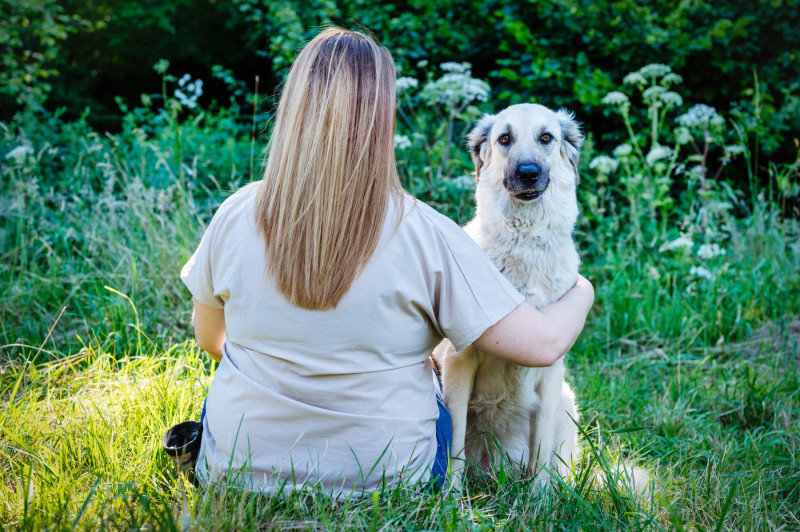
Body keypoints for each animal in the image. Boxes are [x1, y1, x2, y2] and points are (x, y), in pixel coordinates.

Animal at [434, 103, 584, 486]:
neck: (524, 240)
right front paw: (452, 497)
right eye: (505, 139)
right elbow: (454, 444)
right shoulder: (458, 364)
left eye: (546, 137)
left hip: (566, 400)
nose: (529, 174)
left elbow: (542, 450)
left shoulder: (552, 371)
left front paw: (541, 497)